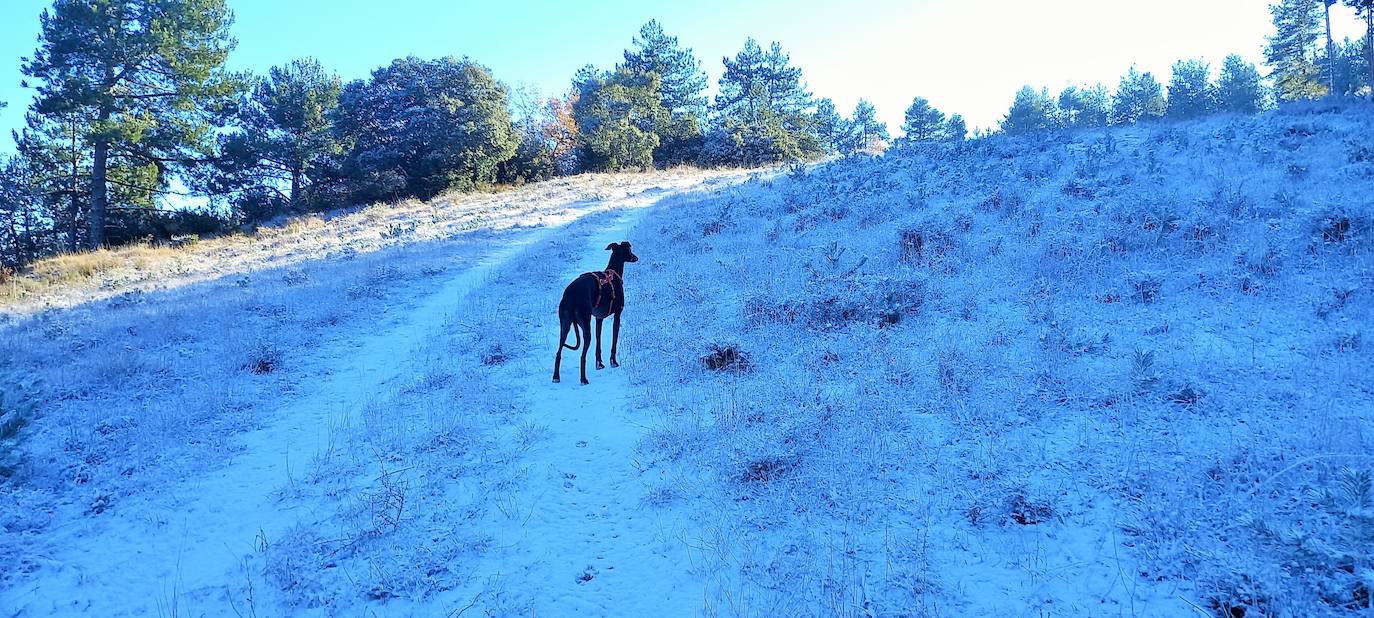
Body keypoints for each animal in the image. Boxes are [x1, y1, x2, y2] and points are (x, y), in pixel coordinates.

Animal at [552, 240, 637, 381]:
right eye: (629, 250)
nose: (636, 258)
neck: (613, 275)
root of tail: (571, 296)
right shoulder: (617, 315)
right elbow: (614, 341)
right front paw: (613, 362)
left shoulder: (598, 318)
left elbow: (598, 342)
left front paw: (599, 363)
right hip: (585, 326)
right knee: (582, 356)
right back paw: (583, 379)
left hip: (565, 326)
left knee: (558, 352)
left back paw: (556, 376)